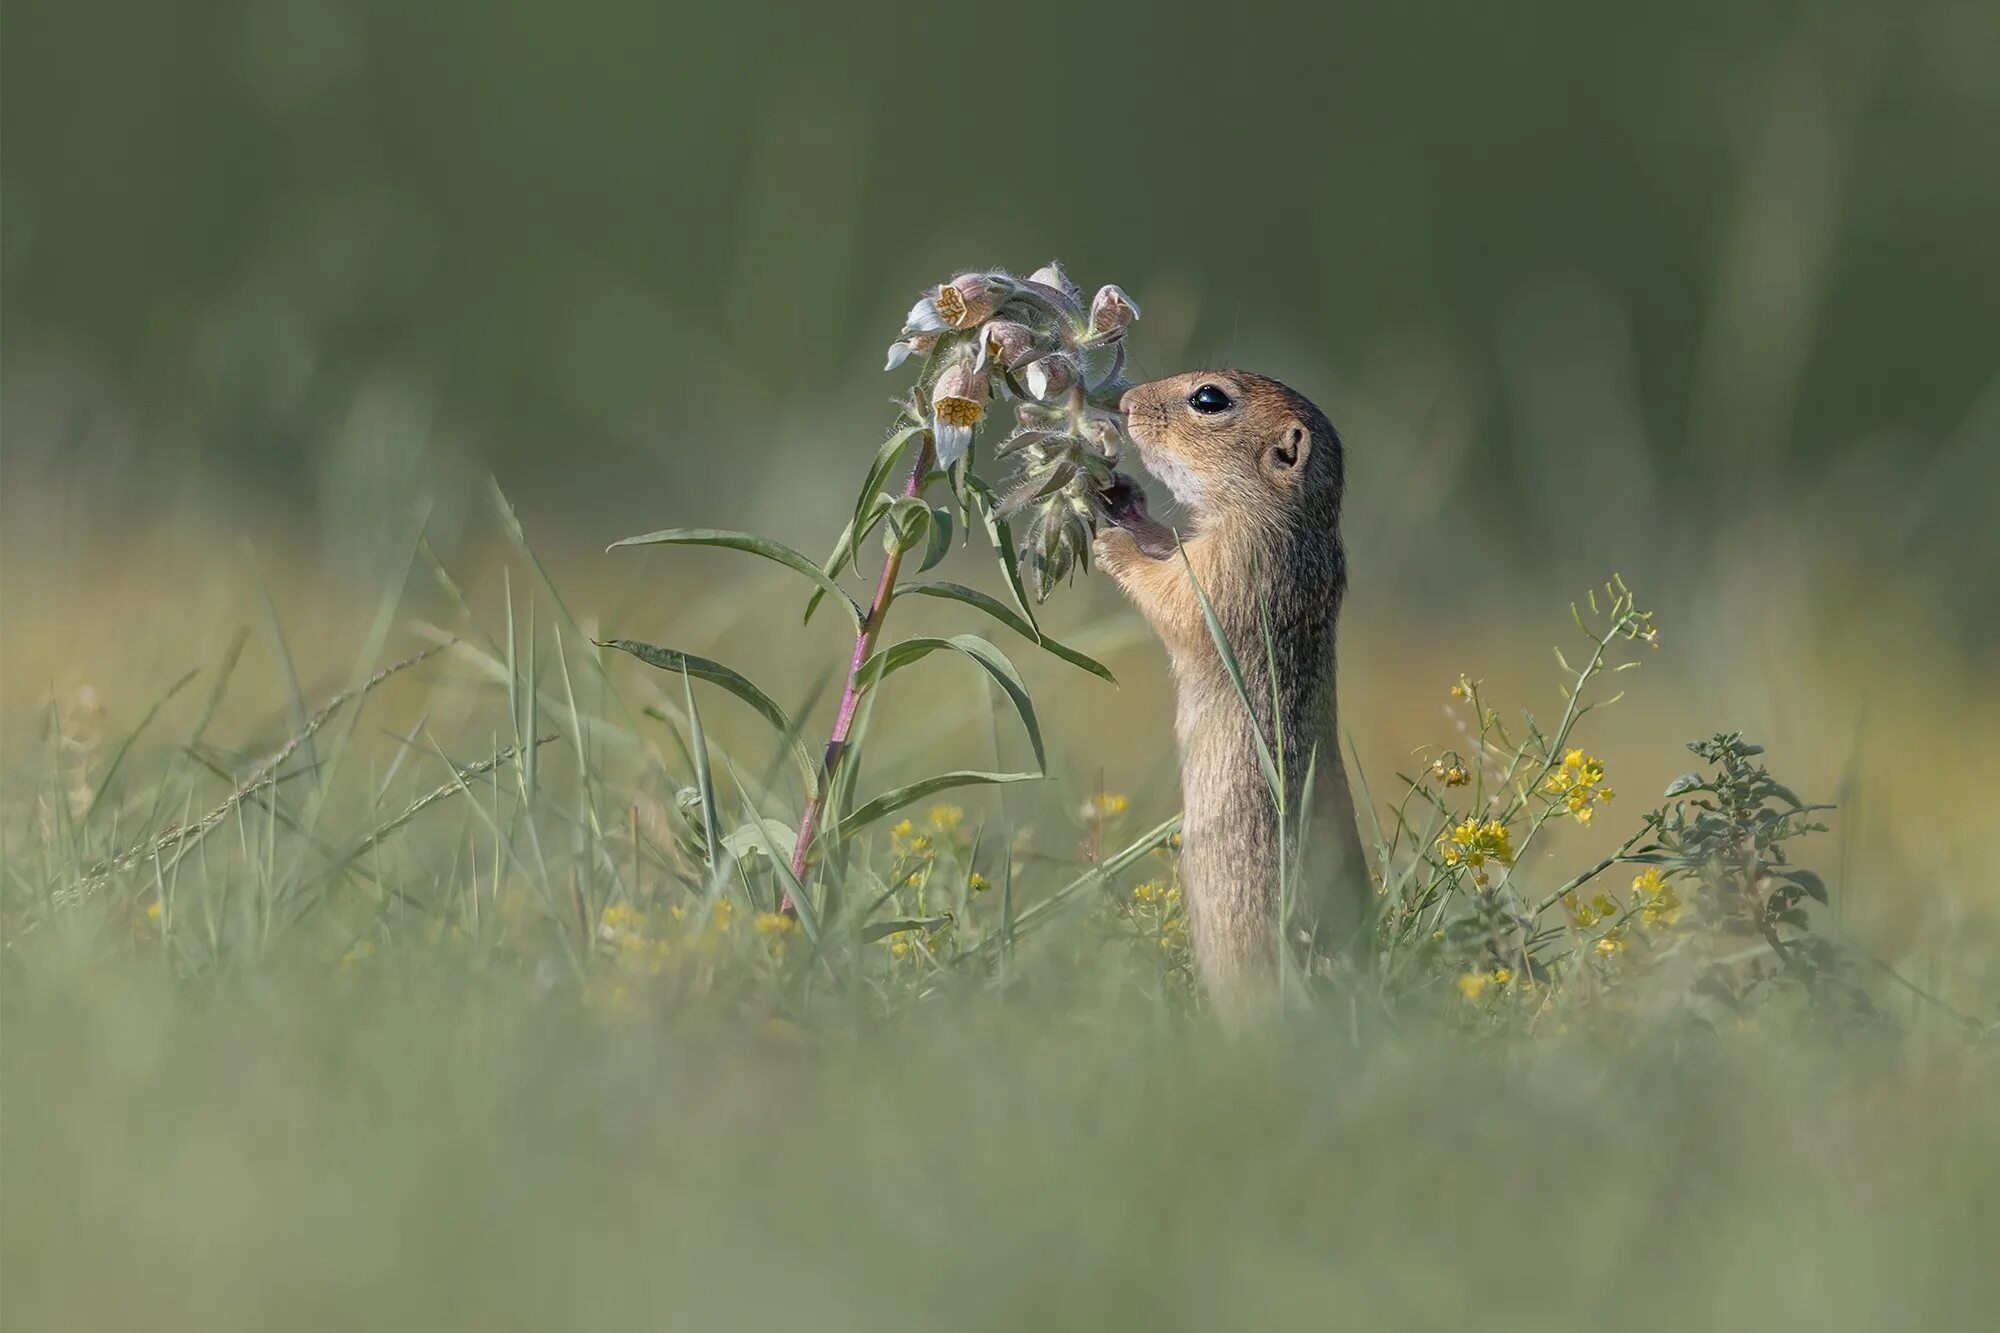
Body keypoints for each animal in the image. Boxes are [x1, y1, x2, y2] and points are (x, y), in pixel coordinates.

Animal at [1096, 368, 1376, 1000]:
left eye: (1209, 399)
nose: (1124, 401)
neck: (1290, 519)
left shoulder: (1233, 567)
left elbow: (1174, 597)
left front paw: (1112, 542)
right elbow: (1166, 547)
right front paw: (1120, 499)